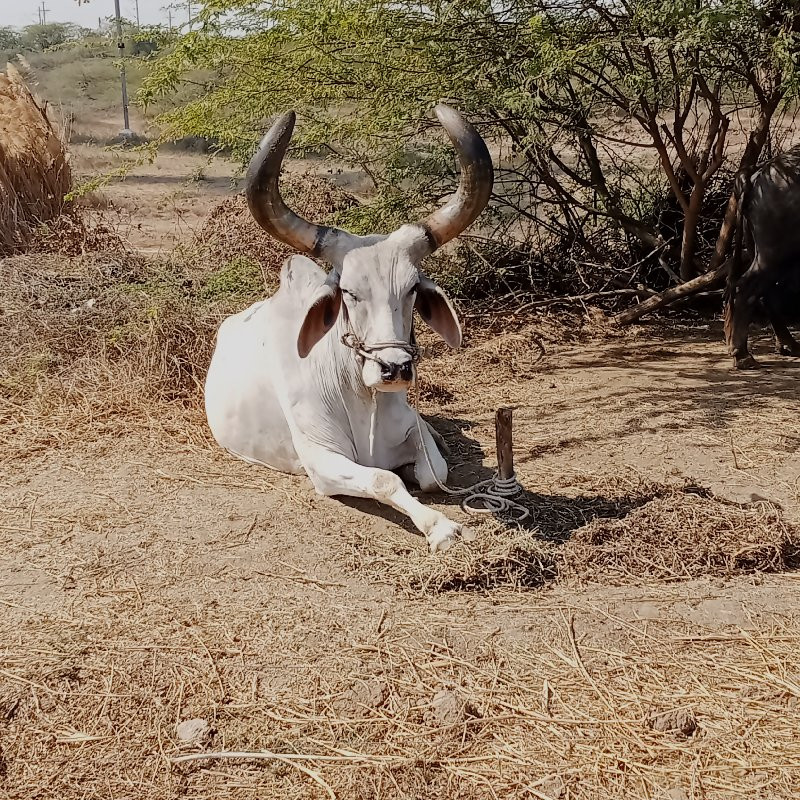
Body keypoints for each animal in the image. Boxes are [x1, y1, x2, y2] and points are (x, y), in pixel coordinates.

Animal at [205, 104, 494, 552]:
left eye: (412, 288)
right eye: (348, 292)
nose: (394, 369)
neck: (364, 399)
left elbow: (432, 473)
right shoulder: (322, 460)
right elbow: (385, 479)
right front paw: (440, 527)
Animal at [724, 144, 800, 368]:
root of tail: (758, 172)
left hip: (769, 253)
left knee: (766, 293)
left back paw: (788, 345)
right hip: (775, 253)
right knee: (746, 288)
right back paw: (742, 355)